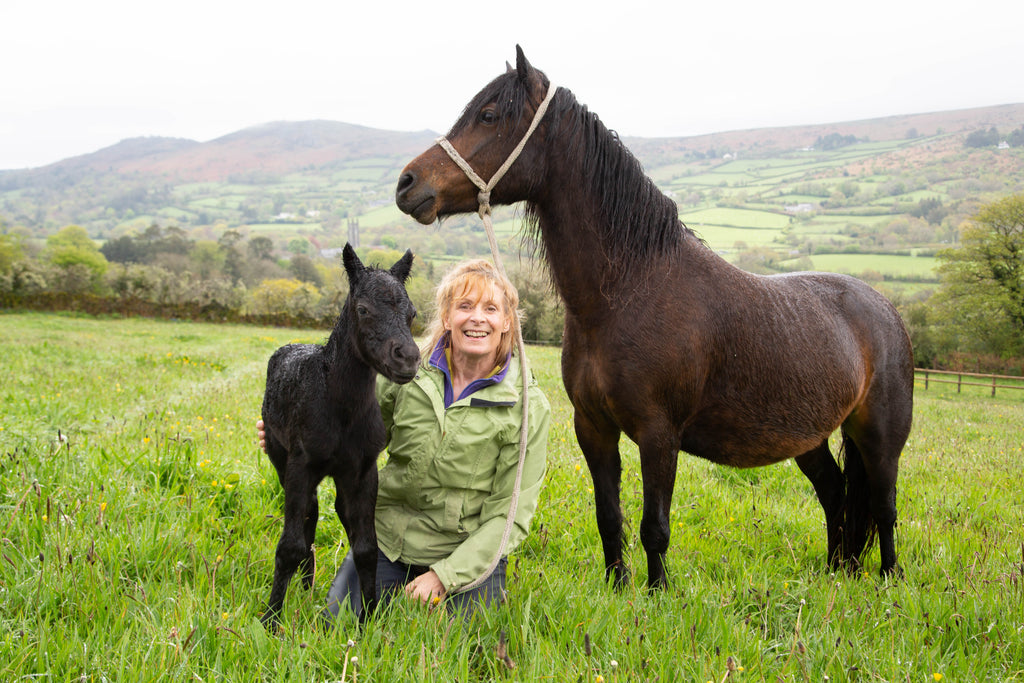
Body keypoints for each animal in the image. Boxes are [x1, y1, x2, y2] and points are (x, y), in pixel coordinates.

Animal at [395, 48, 917, 589]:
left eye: (489, 115)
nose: (407, 184)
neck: (628, 293)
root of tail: (885, 310)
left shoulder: (659, 434)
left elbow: (655, 526)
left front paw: (657, 593)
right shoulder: (593, 428)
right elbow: (609, 517)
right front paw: (617, 587)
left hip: (880, 437)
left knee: (883, 508)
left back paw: (888, 580)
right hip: (809, 438)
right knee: (836, 495)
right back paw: (838, 573)